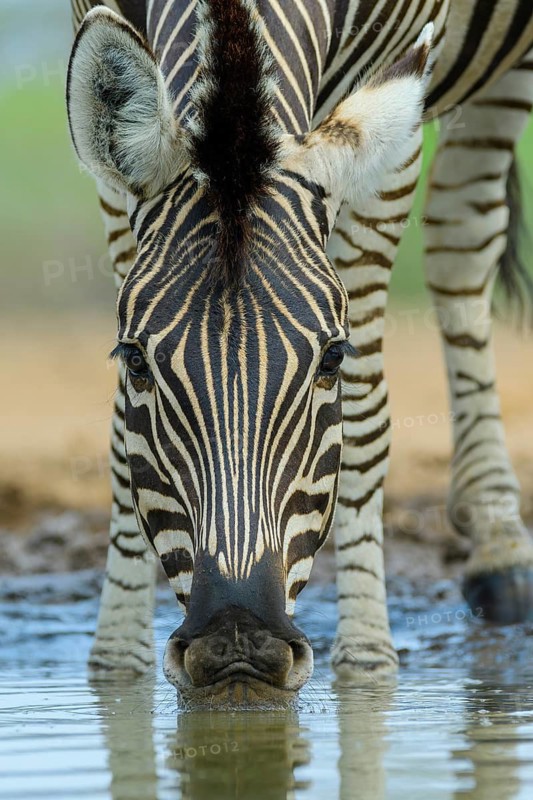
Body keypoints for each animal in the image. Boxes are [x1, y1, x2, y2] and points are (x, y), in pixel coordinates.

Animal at [67, 0, 533, 707]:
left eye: (332, 359)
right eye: (134, 360)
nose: (239, 643)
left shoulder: (389, 159)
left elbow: (365, 420)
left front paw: (368, 662)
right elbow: (123, 439)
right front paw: (116, 665)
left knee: (462, 240)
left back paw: (501, 547)